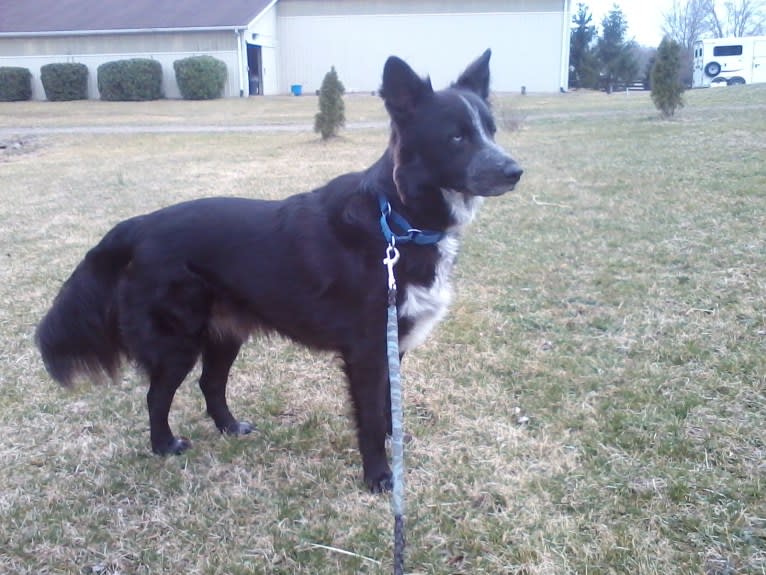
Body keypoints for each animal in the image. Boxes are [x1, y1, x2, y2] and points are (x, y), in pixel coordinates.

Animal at [39, 49, 524, 492]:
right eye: (456, 138)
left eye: (491, 131)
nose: (515, 171)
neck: (398, 220)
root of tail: (138, 226)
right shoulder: (367, 349)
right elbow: (370, 416)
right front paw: (379, 475)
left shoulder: (392, 344)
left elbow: (388, 407)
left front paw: (394, 448)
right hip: (177, 340)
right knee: (157, 395)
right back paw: (164, 446)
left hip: (224, 332)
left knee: (210, 383)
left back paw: (229, 428)